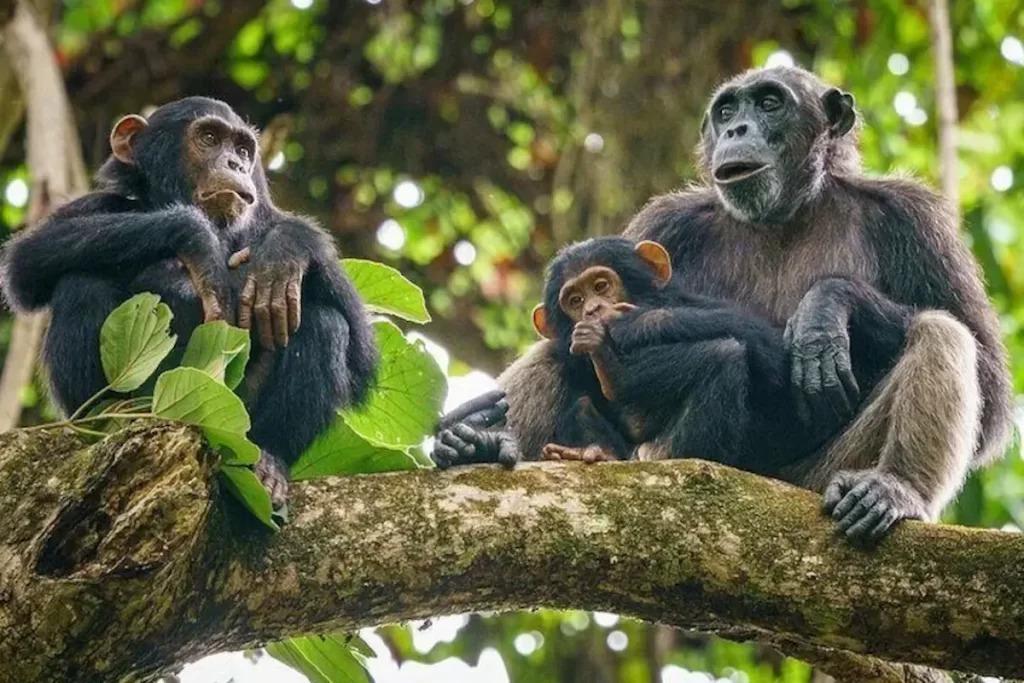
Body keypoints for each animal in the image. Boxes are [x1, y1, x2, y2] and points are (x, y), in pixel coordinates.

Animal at [0, 97, 379, 510]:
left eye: (242, 150)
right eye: (209, 138)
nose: (235, 165)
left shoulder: (264, 218)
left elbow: (362, 347)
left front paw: (287, 247)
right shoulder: (96, 205)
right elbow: (27, 260)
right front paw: (194, 237)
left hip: (235, 426)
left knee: (326, 321)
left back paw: (269, 464)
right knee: (80, 281)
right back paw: (110, 421)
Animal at [433, 66, 1011, 544]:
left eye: (771, 103)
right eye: (727, 110)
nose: (737, 130)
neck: (784, 213)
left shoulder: (914, 217)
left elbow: (990, 382)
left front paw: (825, 308)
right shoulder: (665, 221)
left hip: (818, 478)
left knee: (941, 332)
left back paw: (891, 488)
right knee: (555, 357)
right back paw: (477, 443)